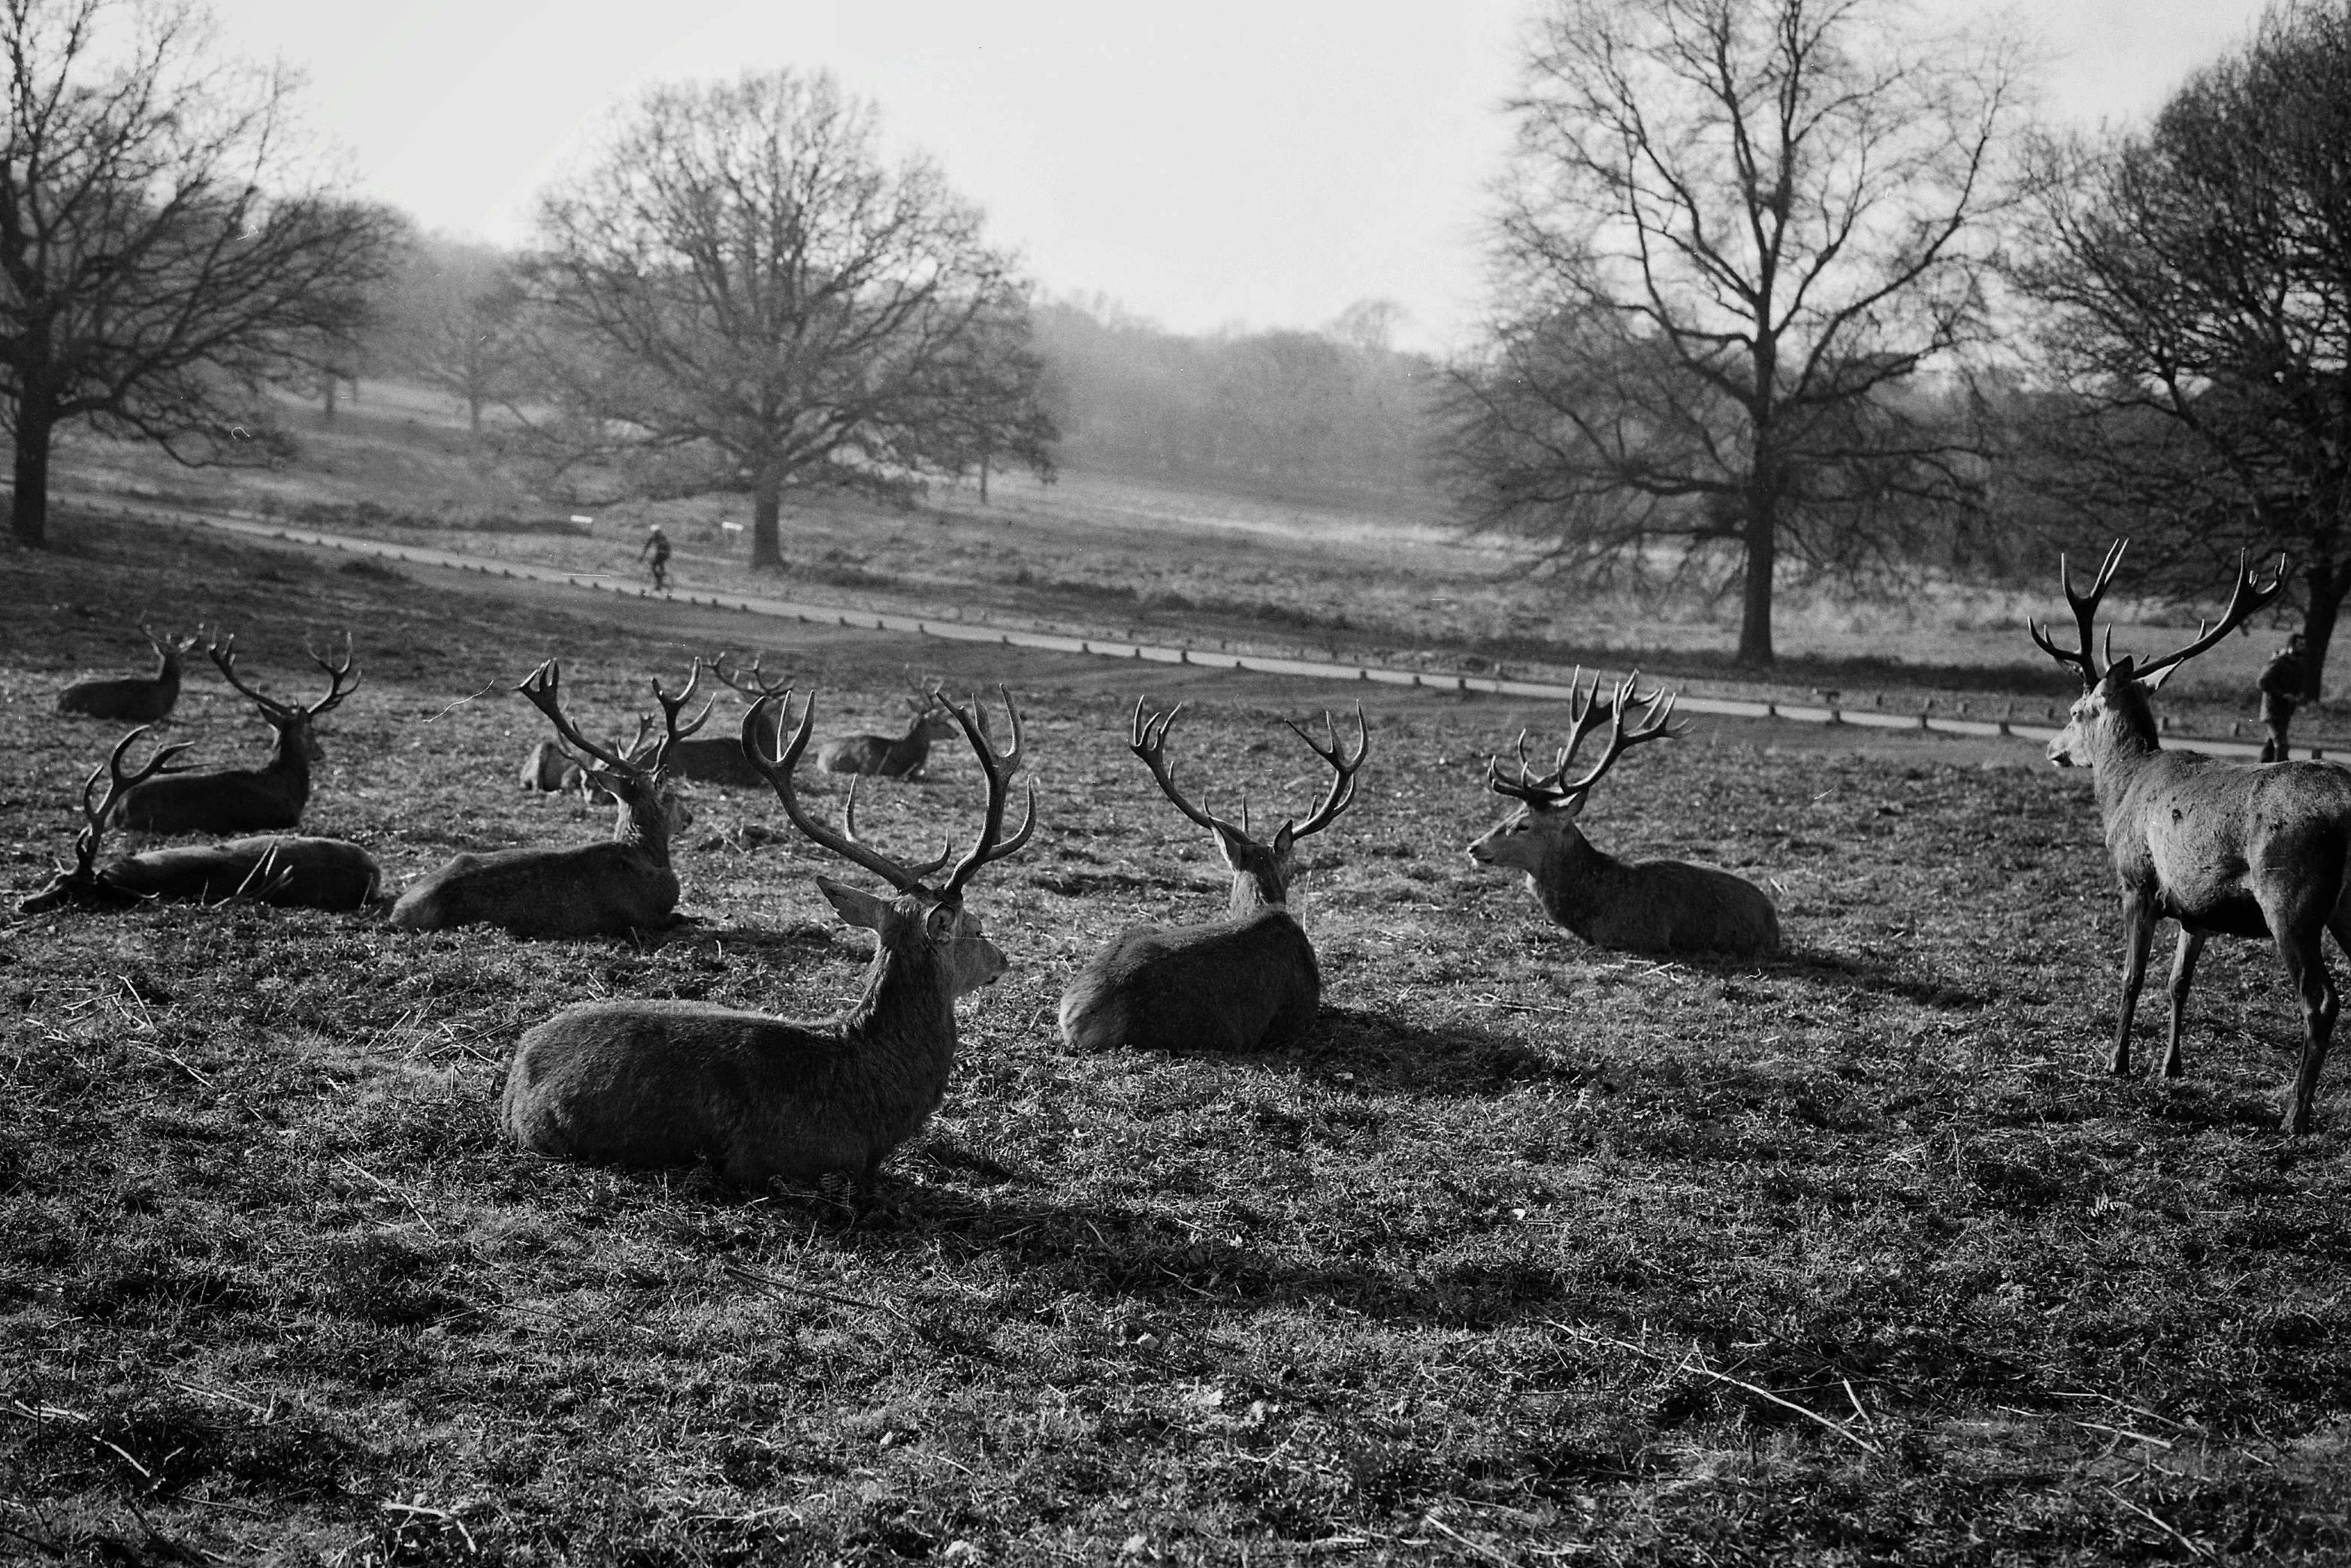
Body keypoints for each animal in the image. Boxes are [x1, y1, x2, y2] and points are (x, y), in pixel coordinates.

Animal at [390, 660, 708, 939]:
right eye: (671, 794)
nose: (689, 817)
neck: (647, 856)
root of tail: (399, 912)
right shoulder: (650, 916)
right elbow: (682, 917)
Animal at [1466, 670, 1780, 958]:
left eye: (1524, 825)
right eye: (1510, 814)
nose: (1473, 847)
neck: (1597, 905)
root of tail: (1774, 918)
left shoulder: (1641, 937)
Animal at [2030, 538, 2351, 1134]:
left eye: (2075, 710)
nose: (2051, 748)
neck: (2124, 789)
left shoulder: (2137, 881)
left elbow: (2132, 974)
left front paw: (2116, 1061)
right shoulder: (2194, 905)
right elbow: (2179, 981)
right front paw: (2169, 1066)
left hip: (2291, 898)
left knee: (2320, 1001)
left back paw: (2293, 1116)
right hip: (2344, 906)